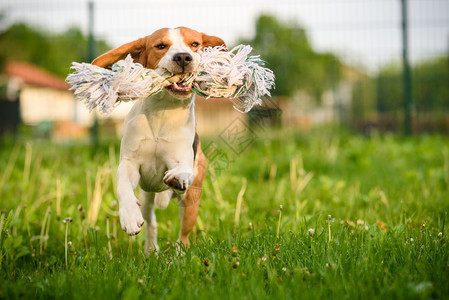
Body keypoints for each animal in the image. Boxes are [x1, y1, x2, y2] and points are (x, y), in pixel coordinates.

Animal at [92, 27, 224, 253]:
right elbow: (123, 186)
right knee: (151, 221)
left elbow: (182, 169)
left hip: (191, 201)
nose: (183, 57)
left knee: (184, 235)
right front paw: (129, 217)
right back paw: (150, 250)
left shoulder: (183, 160)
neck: (164, 111)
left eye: (195, 44)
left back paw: (180, 254)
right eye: (161, 46)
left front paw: (177, 176)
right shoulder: (129, 163)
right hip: (146, 197)